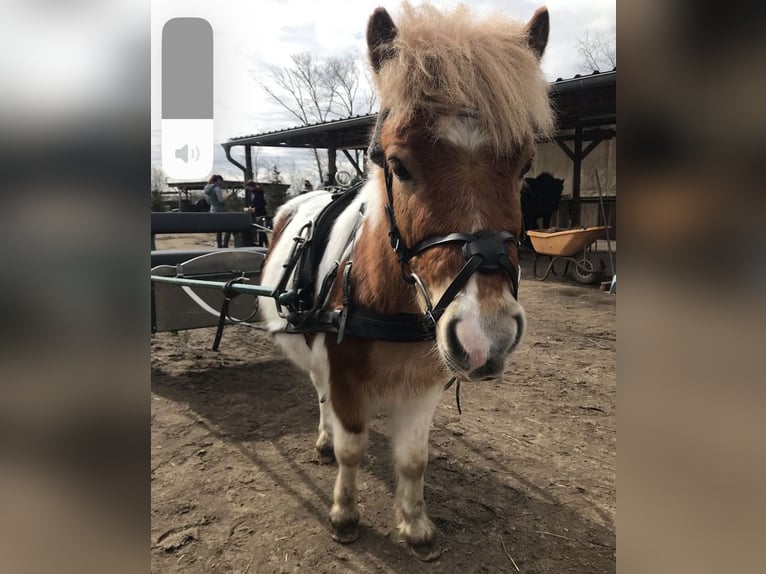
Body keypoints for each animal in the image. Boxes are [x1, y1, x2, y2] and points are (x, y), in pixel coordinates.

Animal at [260, 2, 556, 564]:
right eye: (398, 165)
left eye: (525, 164)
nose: (487, 336)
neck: (388, 302)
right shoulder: (344, 377)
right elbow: (352, 444)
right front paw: (344, 514)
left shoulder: (423, 385)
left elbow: (414, 459)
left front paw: (416, 525)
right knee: (320, 396)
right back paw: (323, 440)